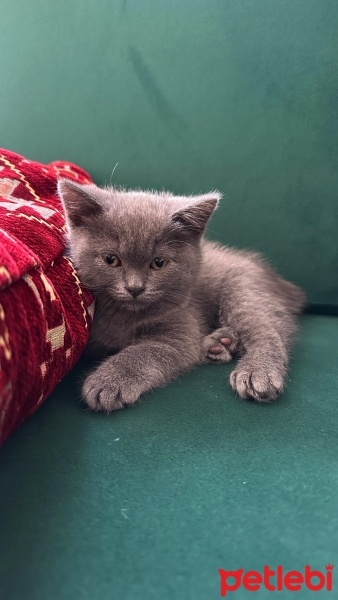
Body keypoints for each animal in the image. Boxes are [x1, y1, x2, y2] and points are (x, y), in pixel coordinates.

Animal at [58, 180, 306, 410]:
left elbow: (146, 351)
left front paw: (108, 381)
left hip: (243, 291)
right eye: (111, 259)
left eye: (159, 263)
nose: (135, 288)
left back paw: (258, 370)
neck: (125, 316)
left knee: (269, 329)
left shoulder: (181, 329)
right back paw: (219, 343)